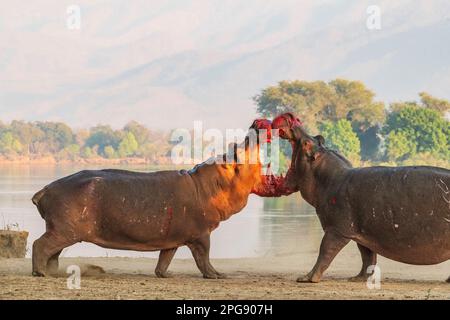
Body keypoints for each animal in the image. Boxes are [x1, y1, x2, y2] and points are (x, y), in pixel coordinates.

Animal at [31, 119, 282, 278]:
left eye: (232, 145)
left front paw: (165, 274)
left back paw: (52, 272)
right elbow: (204, 257)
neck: (212, 184)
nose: (255, 125)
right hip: (64, 230)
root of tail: (45, 189)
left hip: (62, 231)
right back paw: (40, 273)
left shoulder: (172, 237)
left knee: (53, 252)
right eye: (236, 150)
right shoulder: (201, 235)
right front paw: (217, 275)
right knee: (40, 245)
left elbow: (165, 258)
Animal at [270, 112, 450, 282]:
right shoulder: (363, 232)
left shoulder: (337, 230)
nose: (291, 117)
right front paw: (357, 278)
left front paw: (306, 278)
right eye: (319, 137)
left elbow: (325, 252)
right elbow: (367, 256)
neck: (329, 178)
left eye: (307, 143)